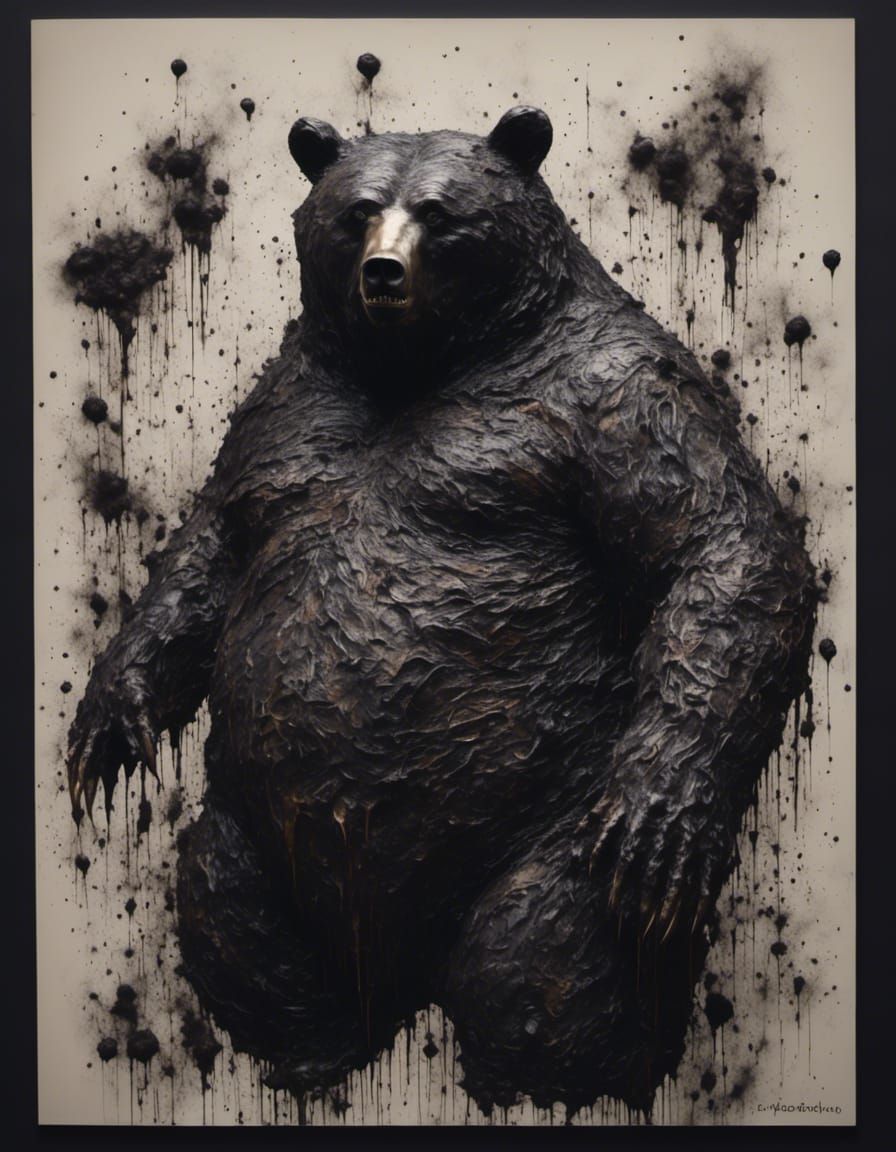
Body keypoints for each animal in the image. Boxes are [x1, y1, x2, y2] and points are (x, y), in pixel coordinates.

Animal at [67, 106, 816, 1114]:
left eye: (439, 213)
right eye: (357, 211)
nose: (384, 272)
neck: (426, 361)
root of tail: (397, 985)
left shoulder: (610, 394)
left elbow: (718, 546)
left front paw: (662, 808)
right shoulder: (288, 399)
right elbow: (215, 545)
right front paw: (109, 717)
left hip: (550, 824)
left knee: (540, 957)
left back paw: (547, 1077)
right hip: (263, 835)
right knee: (233, 910)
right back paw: (310, 1053)